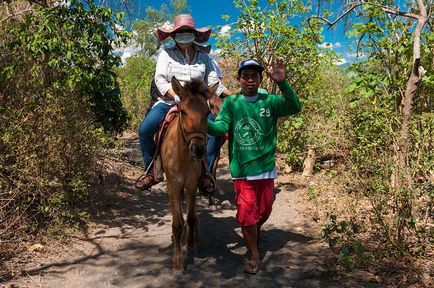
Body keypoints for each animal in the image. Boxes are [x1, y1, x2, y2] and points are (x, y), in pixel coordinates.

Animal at [160, 77, 217, 274]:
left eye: (207, 112)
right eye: (183, 111)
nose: (198, 150)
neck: (182, 154)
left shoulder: (191, 184)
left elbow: (191, 217)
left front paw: (190, 245)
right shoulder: (173, 186)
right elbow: (177, 224)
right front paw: (177, 264)